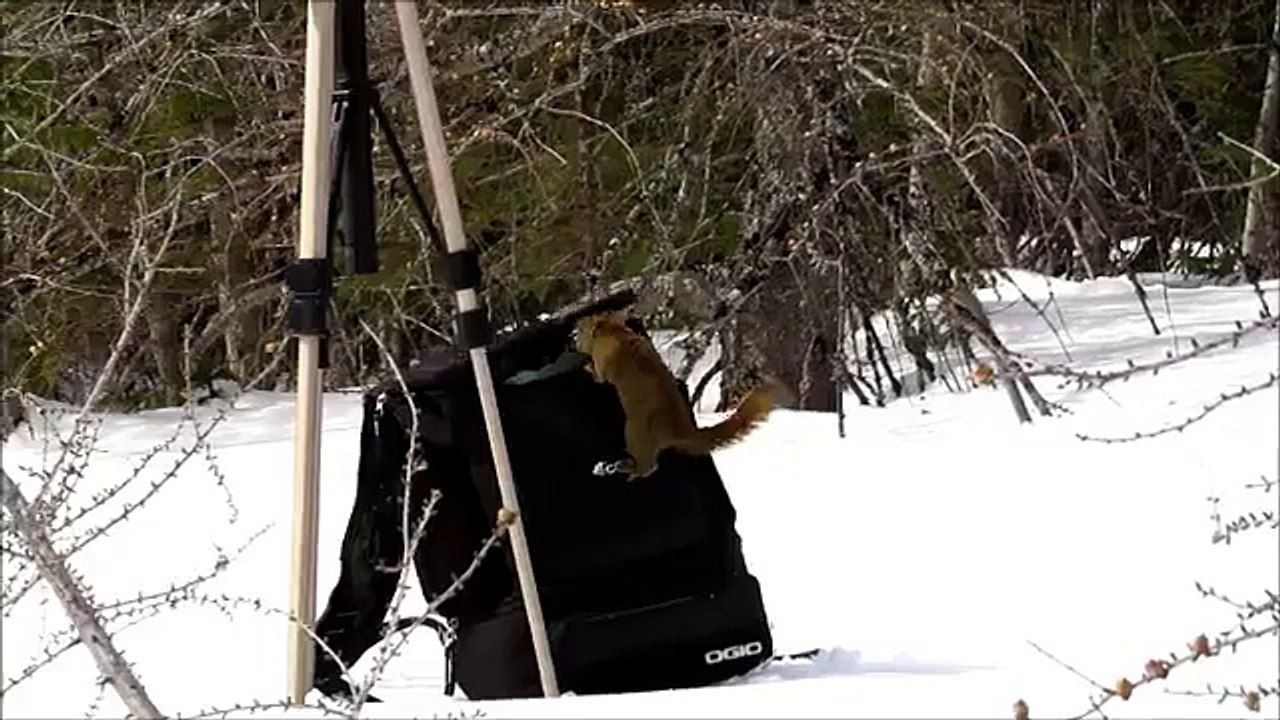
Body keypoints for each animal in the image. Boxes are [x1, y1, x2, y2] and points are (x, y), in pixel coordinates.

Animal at [574, 310, 776, 480]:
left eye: (585, 324)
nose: (574, 325)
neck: (615, 332)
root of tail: (682, 431)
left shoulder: (602, 363)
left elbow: (599, 376)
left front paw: (587, 365)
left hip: (633, 432)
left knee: (649, 467)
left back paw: (628, 470)